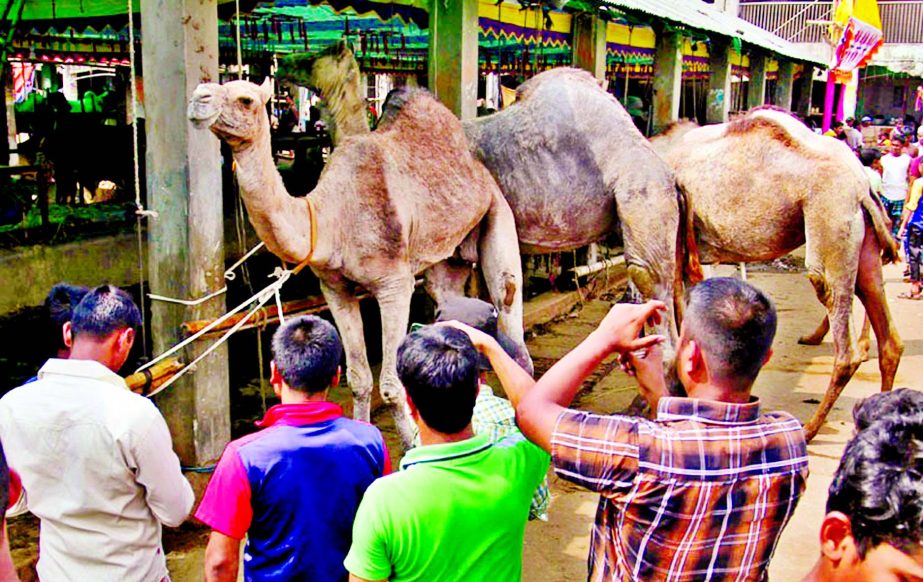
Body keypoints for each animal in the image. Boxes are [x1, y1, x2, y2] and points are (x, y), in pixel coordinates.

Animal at [186, 80, 528, 450]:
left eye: (246, 99)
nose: (198, 99)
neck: (330, 221)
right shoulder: (335, 289)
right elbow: (359, 378)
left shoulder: (395, 286)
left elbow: (391, 387)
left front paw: (411, 449)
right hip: (448, 253)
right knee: (447, 293)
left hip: (497, 209)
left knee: (509, 302)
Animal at [652, 109, 904, 440]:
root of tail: (864, 186)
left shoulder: (676, 244)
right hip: (865, 246)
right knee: (889, 339)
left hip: (831, 220)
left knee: (844, 340)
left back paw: (809, 429)